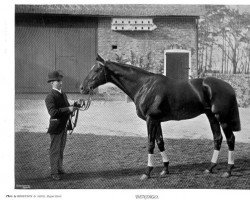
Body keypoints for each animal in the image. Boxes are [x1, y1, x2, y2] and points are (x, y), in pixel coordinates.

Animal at [79, 54, 240, 180]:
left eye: (97, 69)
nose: (82, 87)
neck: (144, 86)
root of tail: (229, 86)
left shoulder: (151, 120)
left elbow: (151, 144)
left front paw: (147, 172)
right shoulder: (157, 121)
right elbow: (160, 142)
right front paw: (165, 169)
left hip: (222, 118)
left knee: (230, 139)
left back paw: (228, 170)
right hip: (211, 116)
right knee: (217, 138)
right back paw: (210, 168)